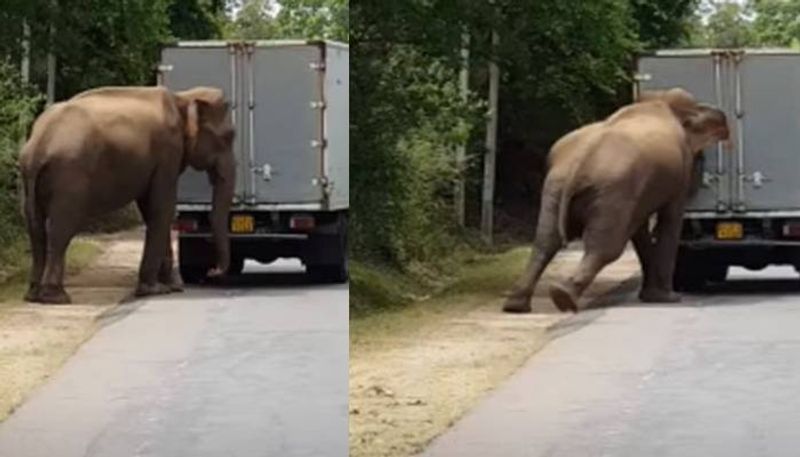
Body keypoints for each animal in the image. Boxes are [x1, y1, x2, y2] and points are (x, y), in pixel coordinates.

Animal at [19, 87, 234, 304]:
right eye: (229, 137)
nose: (213, 271)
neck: (182, 98)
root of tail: (38, 145)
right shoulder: (168, 152)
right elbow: (162, 209)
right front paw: (155, 290)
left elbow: (150, 209)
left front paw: (173, 288)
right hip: (69, 176)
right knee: (61, 229)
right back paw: (55, 297)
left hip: (30, 179)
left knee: (35, 228)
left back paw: (33, 294)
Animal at [504, 87, 728, 312]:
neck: (661, 100)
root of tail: (580, 162)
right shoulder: (676, 173)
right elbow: (669, 220)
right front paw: (669, 298)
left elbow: (641, 229)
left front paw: (652, 296)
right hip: (613, 188)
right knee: (606, 247)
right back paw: (563, 297)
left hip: (557, 186)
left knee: (545, 241)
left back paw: (517, 305)